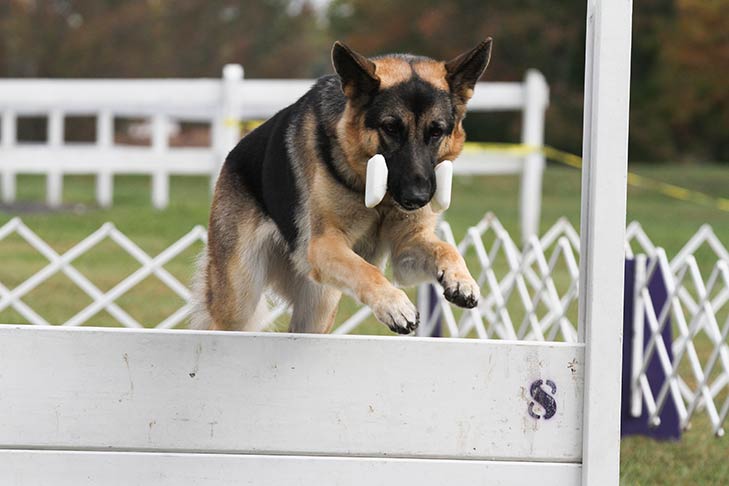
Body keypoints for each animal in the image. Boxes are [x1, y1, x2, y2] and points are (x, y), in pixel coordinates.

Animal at [191, 39, 492, 334]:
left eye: (436, 131)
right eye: (391, 128)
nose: (417, 198)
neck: (380, 199)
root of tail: (233, 153)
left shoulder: (407, 248)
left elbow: (446, 248)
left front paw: (462, 279)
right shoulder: (325, 244)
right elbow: (365, 269)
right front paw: (394, 304)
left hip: (318, 306)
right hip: (240, 299)